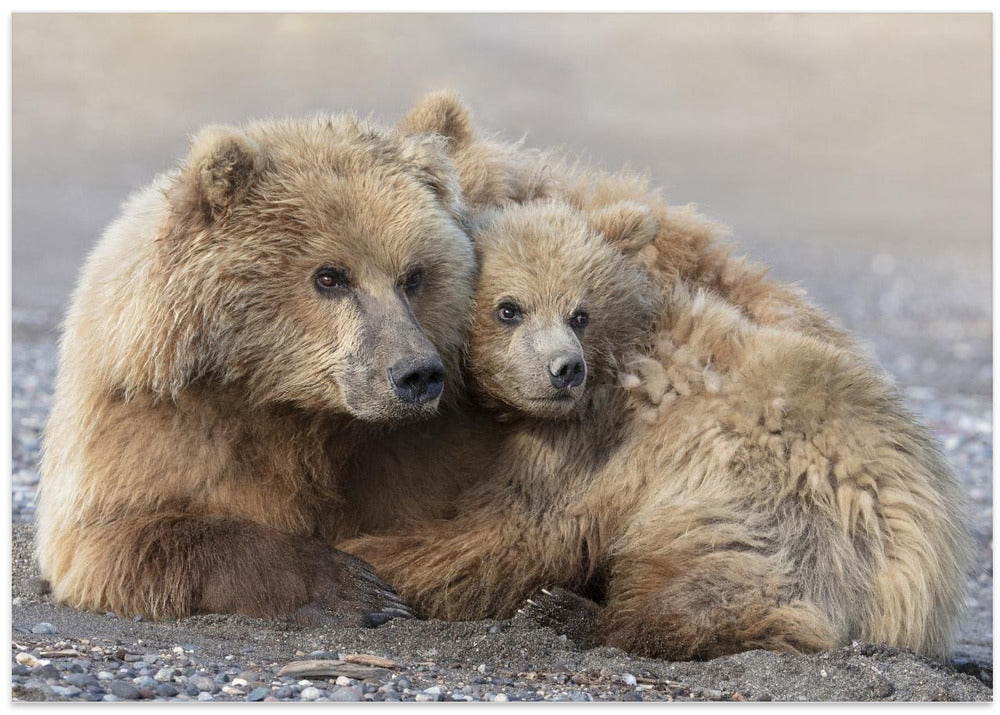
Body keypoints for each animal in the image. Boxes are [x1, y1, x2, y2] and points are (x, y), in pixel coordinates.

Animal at [36, 112, 481, 624]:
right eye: (329, 276)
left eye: (413, 276)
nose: (417, 374)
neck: (285, 406)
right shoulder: (150, 428)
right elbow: (122, 537)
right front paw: (357, 586)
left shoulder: (414, 453)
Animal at [341, 195, 972, 661]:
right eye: (508, 308)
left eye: (579, 312)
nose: (564, 369)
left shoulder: (592, 444)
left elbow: (512, 530)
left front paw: (364, 557)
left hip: (769, 505)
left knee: (716, 582)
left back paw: (568, 612)